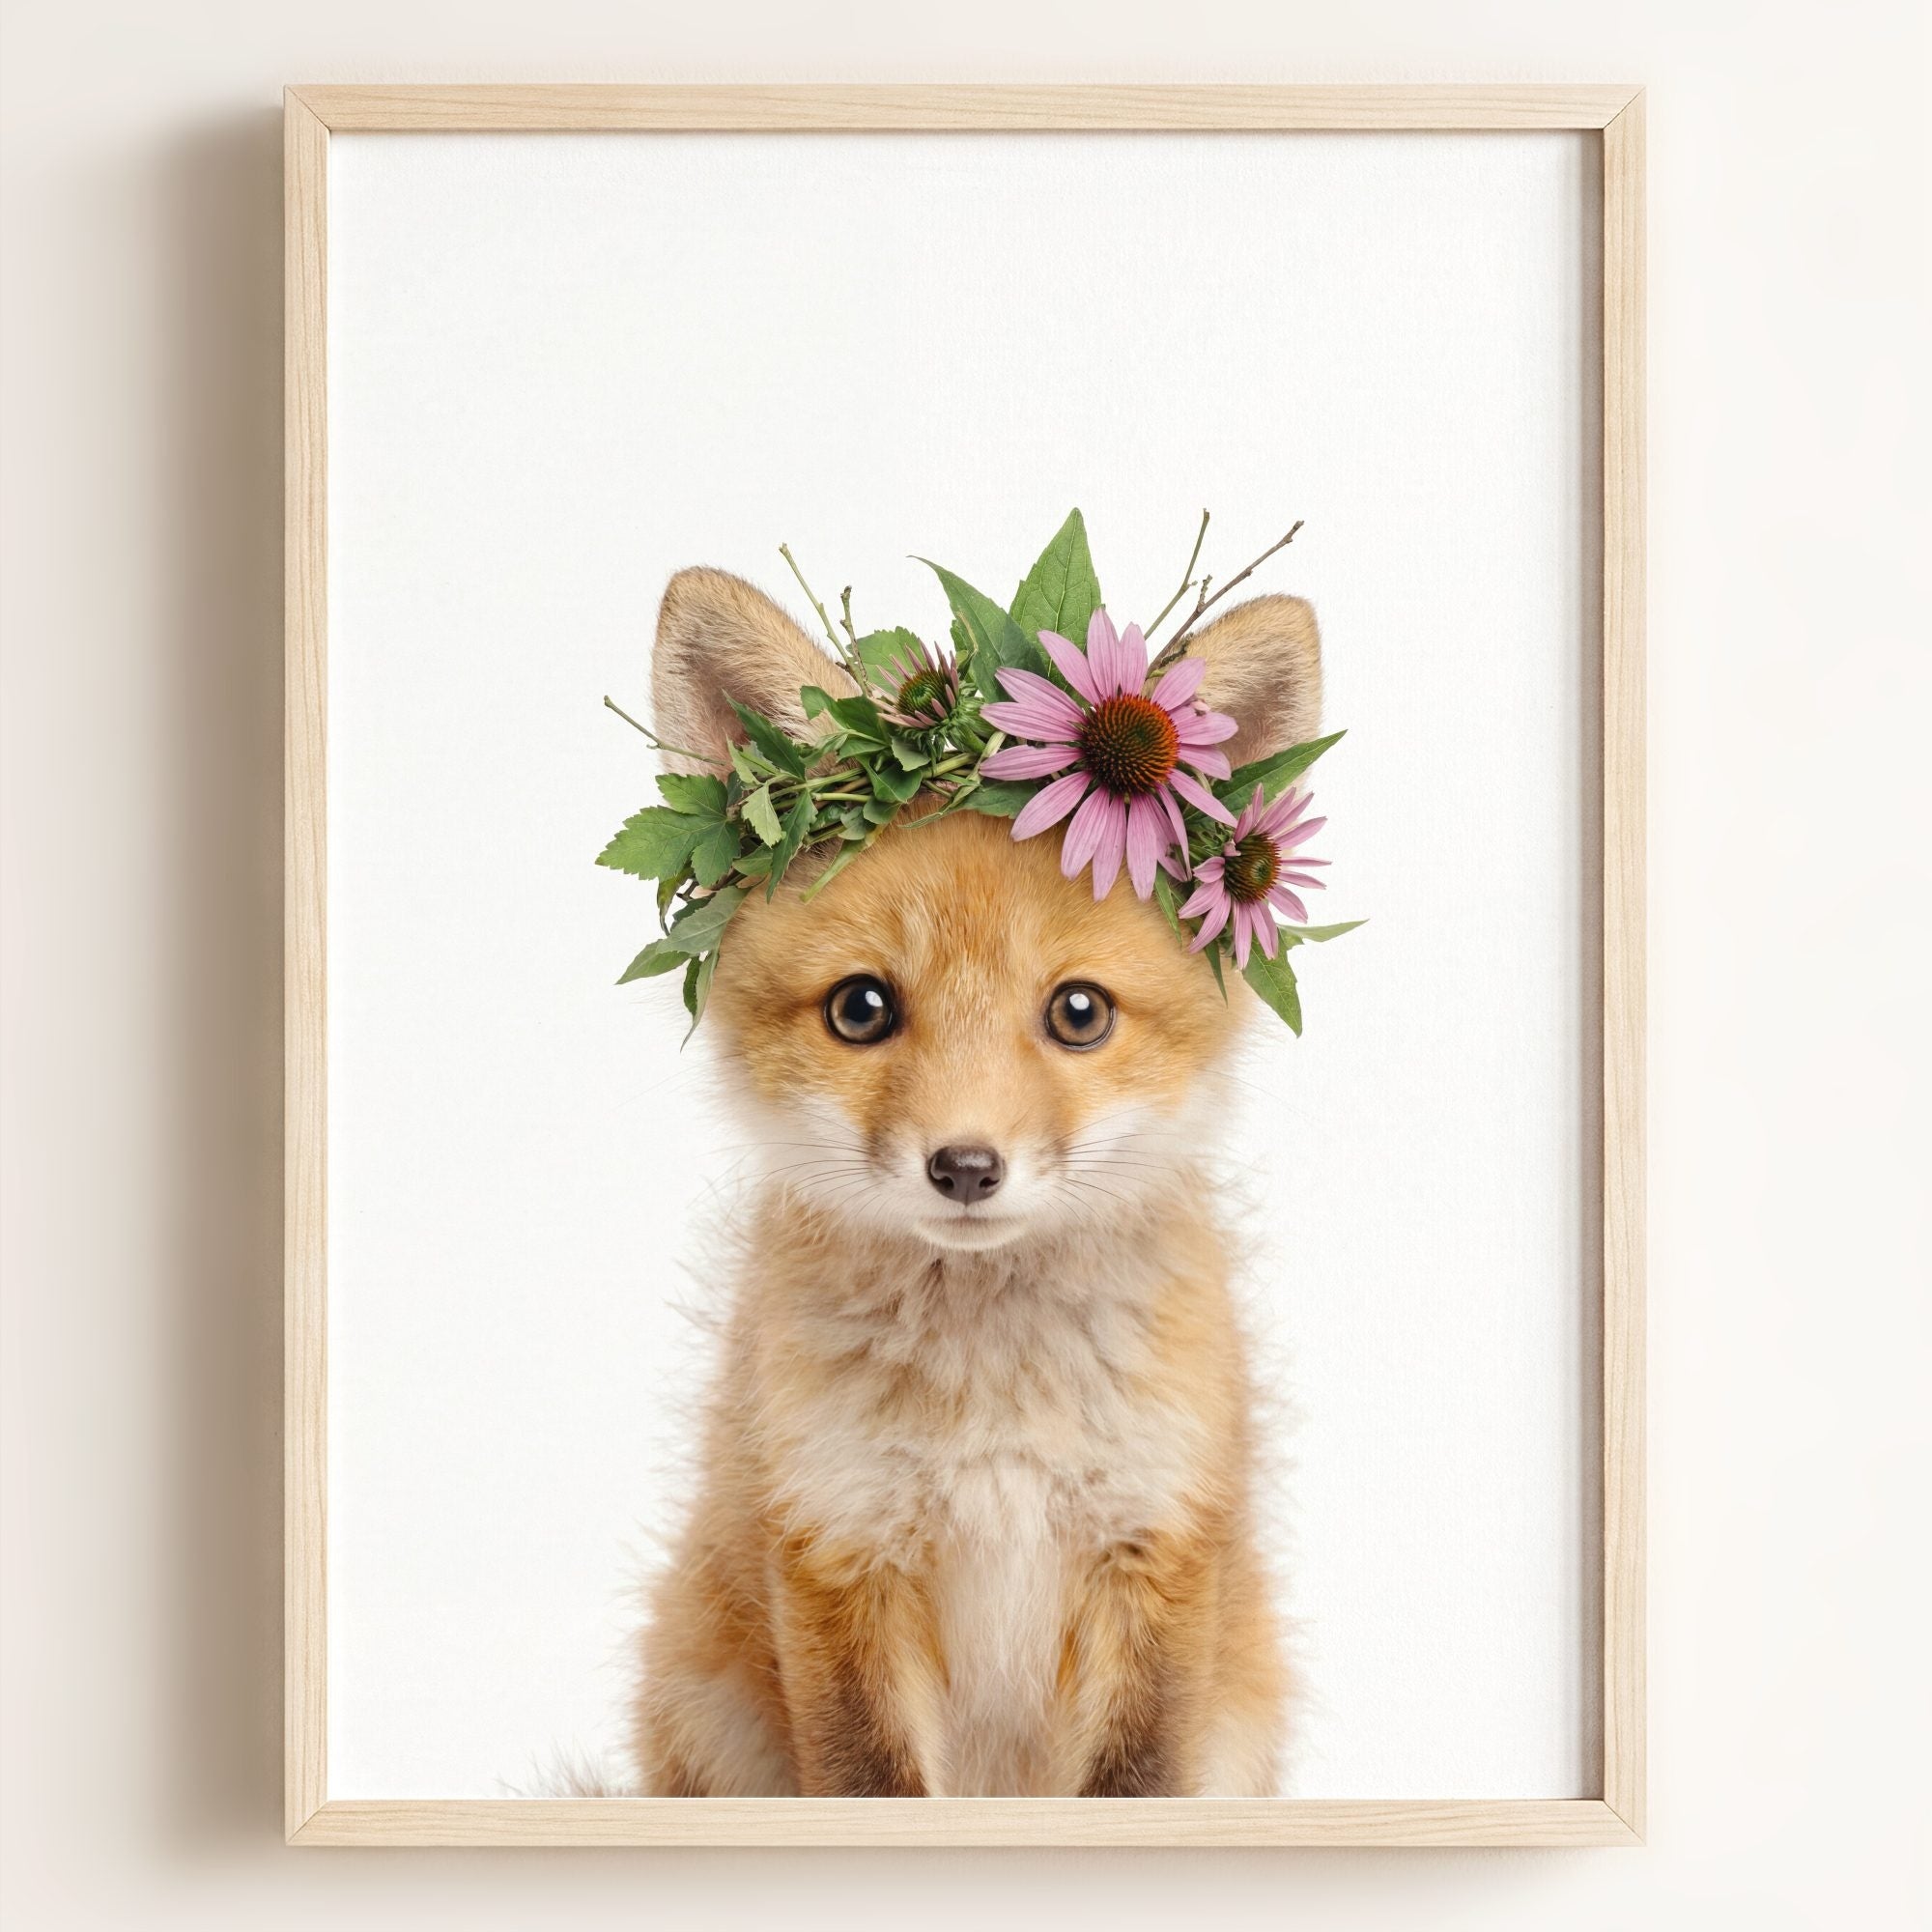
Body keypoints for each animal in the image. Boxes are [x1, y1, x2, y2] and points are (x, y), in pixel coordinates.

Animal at [629, 564, 1323, 1798]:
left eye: (1078, 1011)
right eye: (861, 1007)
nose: (963, 1165)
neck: (993, 1410)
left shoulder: (1153, 1545)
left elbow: (1133, 1783)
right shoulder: (837, 1545)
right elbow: (870, 1784)